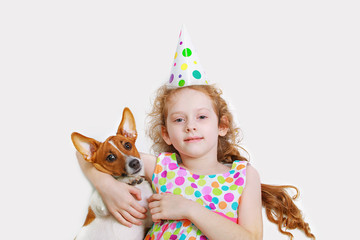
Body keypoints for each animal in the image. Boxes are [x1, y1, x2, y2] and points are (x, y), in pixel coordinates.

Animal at [71, 108, 153, 240]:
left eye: (127, 145)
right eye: (110, 157)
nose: (135, 163)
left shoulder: (149, 220)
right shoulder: (98, 206)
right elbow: (112, 184)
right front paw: (127, 180)